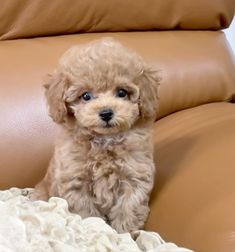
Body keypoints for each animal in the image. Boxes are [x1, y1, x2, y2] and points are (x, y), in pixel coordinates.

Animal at [31, 37, 160, 232]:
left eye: (121, 92)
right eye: (86, 96)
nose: (106, 113)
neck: (104, 140)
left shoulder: (135, 174)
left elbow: (128, 207)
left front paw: (125, 231)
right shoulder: (76, 182)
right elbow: (87, 213)